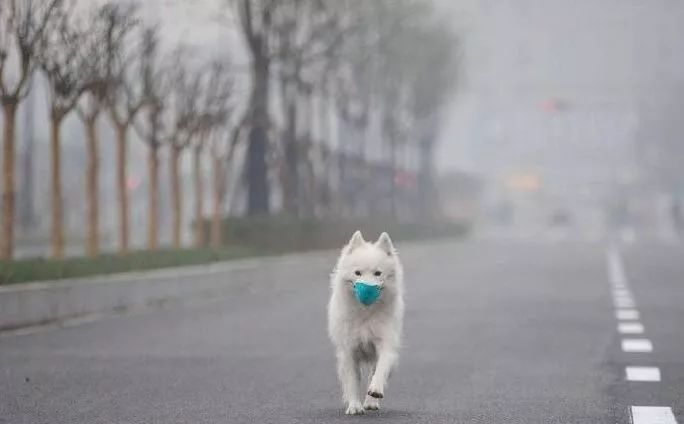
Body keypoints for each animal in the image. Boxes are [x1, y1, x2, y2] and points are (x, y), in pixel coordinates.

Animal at [328, 232, 404, 414]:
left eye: (378, 273)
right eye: (357, 273)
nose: (367, 290)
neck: (366, 313)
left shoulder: (385, 344)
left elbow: (381, 369)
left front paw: (375, 391)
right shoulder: (349, 351)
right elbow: (352, 381)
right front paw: (354, 406)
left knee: (373, 373)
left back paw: (371, 402)